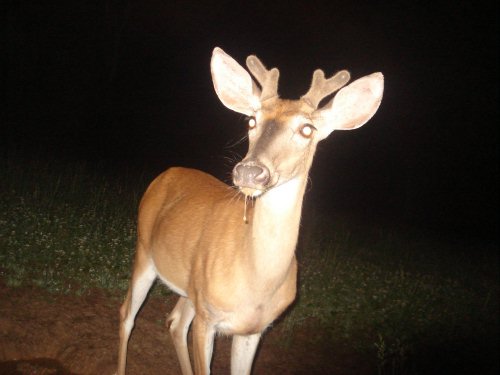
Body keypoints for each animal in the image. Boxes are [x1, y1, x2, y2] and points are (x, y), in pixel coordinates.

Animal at [116, 47, 382, 375]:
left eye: (307, 129)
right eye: (251, 121)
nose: (250, 172)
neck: (257, 284)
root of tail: (168, 172)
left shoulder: (253, 329)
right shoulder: (208, 317)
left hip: (191, 286)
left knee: (175, 322)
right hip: (144, 251)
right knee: (127, 314)